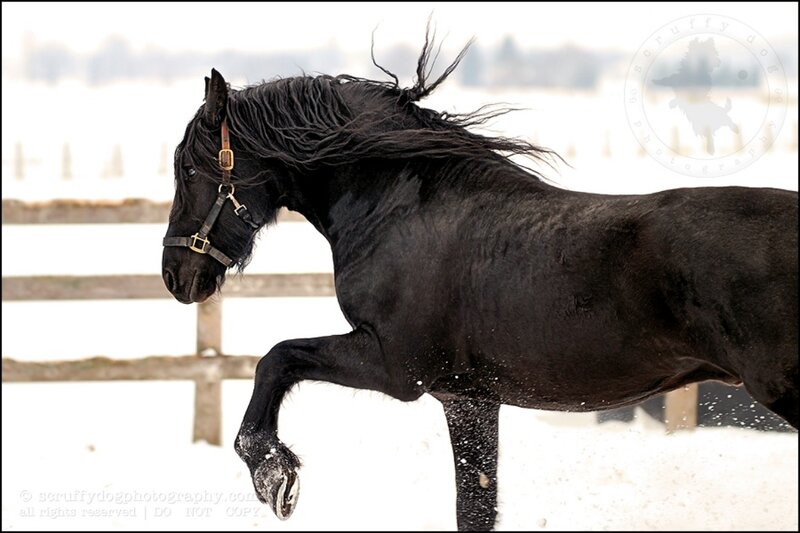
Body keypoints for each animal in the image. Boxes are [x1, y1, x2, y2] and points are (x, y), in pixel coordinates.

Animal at [161, 37, 798, 531]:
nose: (176, 276)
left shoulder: (398, 367)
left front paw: (274, 475)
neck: (404, 208)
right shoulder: (467, 398)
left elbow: (277, 357)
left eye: (190, 169)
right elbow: (476, 506)